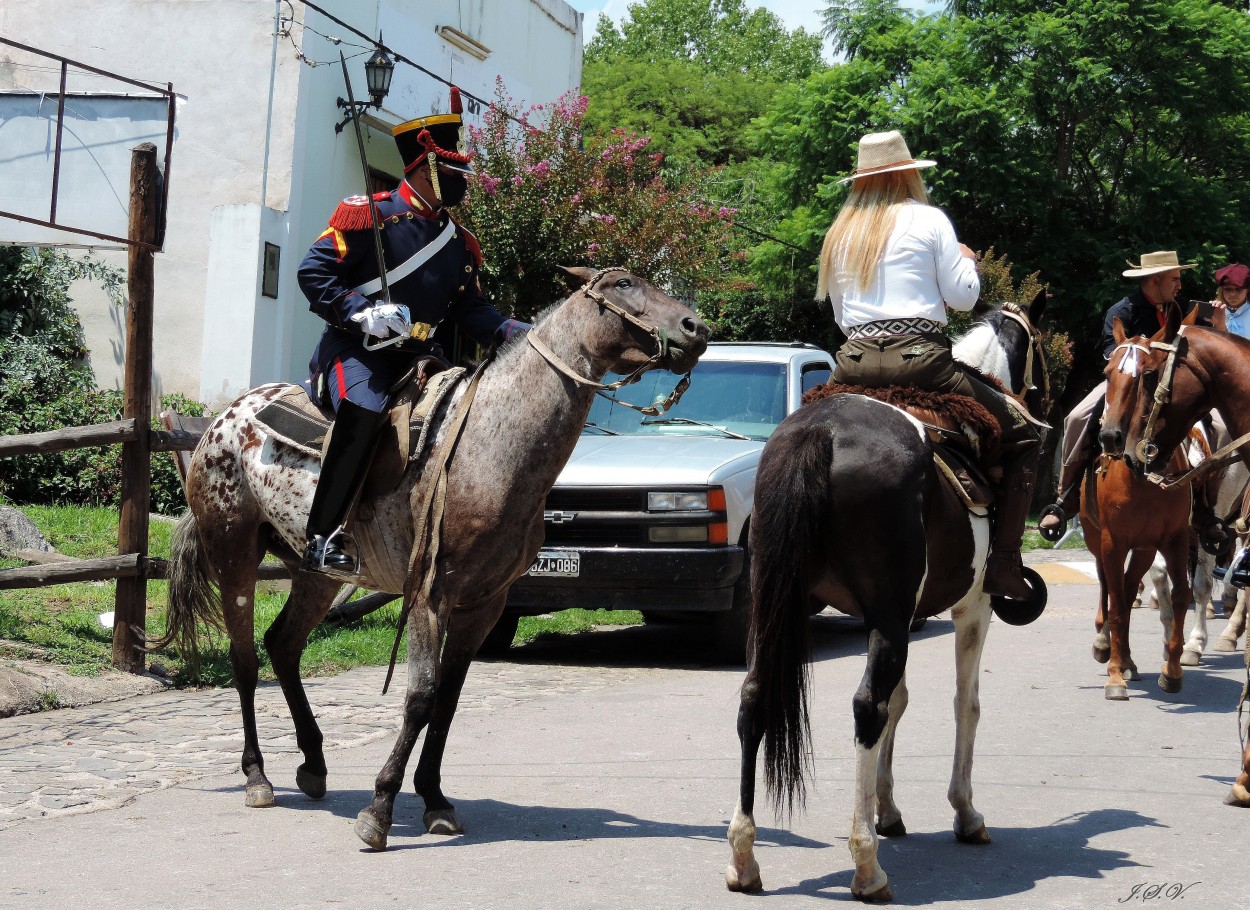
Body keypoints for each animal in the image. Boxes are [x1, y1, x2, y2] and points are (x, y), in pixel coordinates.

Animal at [157, 266, 710, 835]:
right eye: (622, 284)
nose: (696, 328)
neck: (490, 445)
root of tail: (224, 420)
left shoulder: (483, 604)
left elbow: (447, 699)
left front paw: (434, 798)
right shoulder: (429, 594)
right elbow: (420, 697)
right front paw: (380, 807)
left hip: (318, 574)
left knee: (283, 645)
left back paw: (313, 764)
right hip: (233, 554)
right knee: (244, 659)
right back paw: (257, 777)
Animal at [725, 293, 1055, 905]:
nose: (1043, 402)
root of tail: (820, 433)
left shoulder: (896, 617)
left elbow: (900, 702)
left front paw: (889, 809)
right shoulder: (968, 609)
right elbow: (964, 704)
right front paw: (964, 814)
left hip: (776, 608)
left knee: (757, 698)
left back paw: (743, 858)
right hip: (888, 615)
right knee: (866, 706)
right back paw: (866, 866)